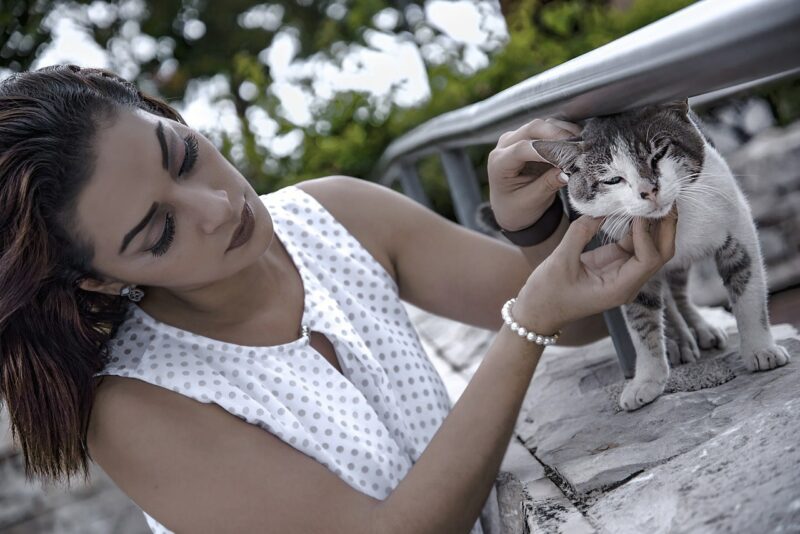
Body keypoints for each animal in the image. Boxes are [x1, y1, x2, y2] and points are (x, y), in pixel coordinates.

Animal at [520, 100, 792, 410]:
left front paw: (761, 349)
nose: (648, 190)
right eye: (612, 179)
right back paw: (680, 338)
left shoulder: (736, 225)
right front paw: (646, 380)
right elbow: (642, 320)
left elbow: (748, 291)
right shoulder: (626, 262)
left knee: (679, 291)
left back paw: (700, 329)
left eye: (659, 154)